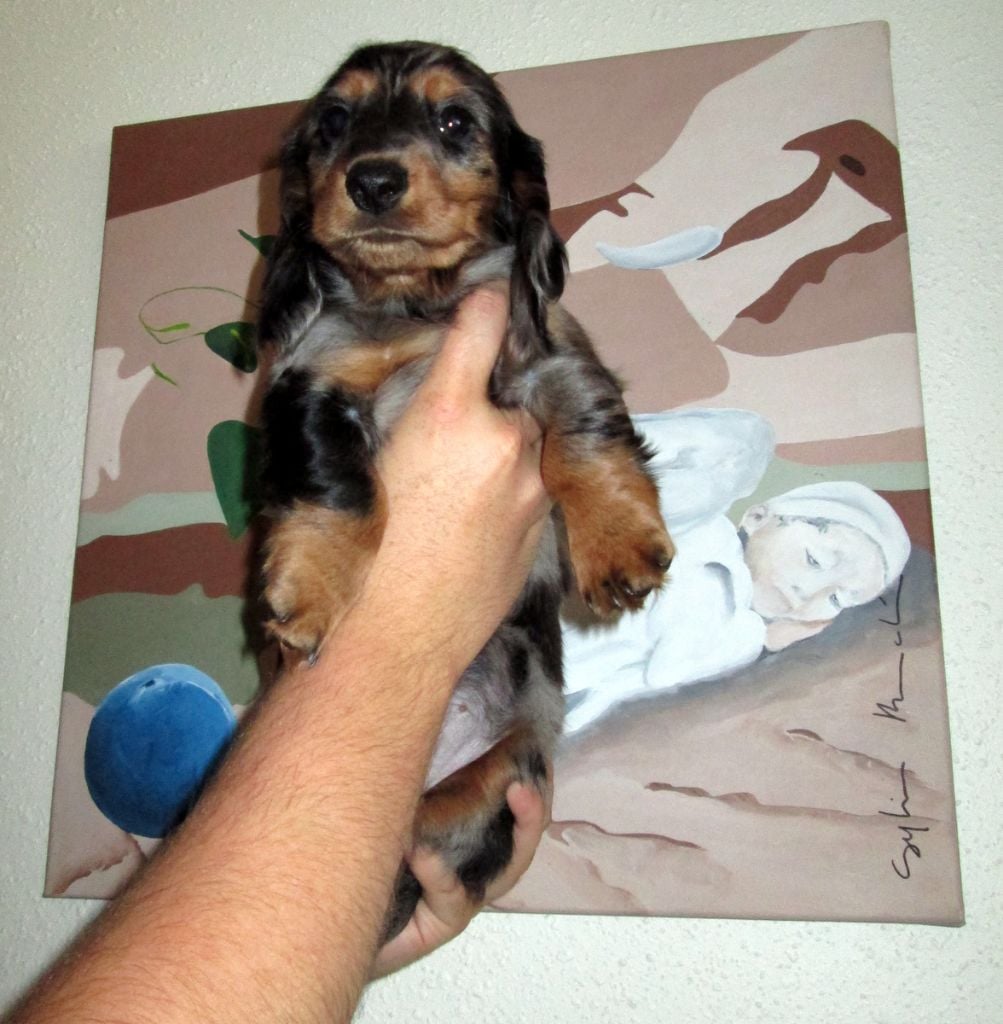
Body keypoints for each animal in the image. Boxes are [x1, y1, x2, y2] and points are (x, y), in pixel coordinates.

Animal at [256, 40, 674, 938]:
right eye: (334, 122)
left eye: (454, 121)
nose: (374, 181)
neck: (420, 305)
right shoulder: (311, 380)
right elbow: (336, 486)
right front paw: (310, 587)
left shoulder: (548, 351)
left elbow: (586, 433)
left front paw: (617, 541)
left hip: (502, 772)